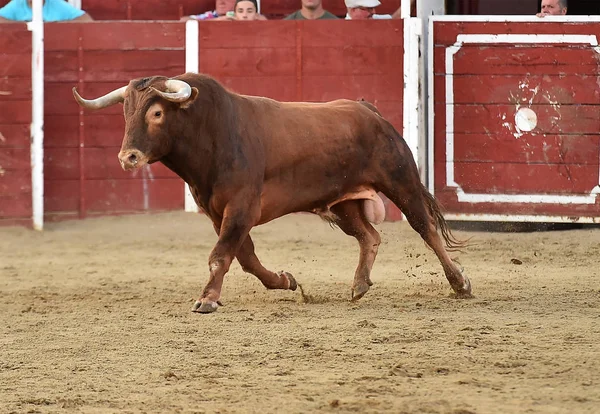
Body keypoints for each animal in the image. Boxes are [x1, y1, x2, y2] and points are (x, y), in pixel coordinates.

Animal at [72, 73, 472, 314]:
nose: (128, 157)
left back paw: (460, 283)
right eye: (126, 112)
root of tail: (368, 110)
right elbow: (245, 257)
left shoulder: (241, 207)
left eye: (156, 112)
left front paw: (207, 299)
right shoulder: (218, 213)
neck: (212, 132)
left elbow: (221, 254)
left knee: (425, 228)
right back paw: (359, 285)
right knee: (369, 236)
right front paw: (285, 280)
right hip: (344, 204)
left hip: (401, 181)